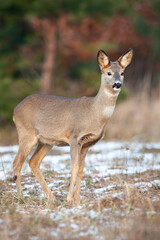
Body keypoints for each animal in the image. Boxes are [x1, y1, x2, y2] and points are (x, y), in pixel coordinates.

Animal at [12, 48, 133, 204]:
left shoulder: (87, 144)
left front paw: (78, 199)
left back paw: (51, 197)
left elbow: (81, 169)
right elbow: (74, 167)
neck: (94, 113)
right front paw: (70, 199)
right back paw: (21, 197)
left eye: (122, 73)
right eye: (109, 73)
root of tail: (15, 110)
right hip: (27, 134)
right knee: (17, 163)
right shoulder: (75, 138)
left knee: (33, 162)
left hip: (46, 142)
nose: (117, 84)